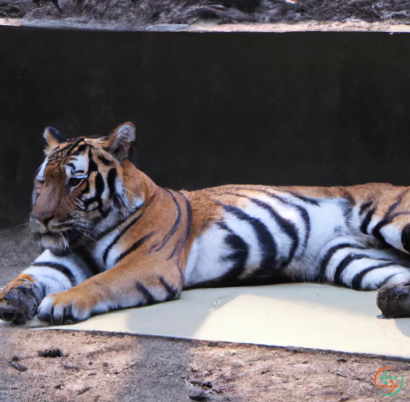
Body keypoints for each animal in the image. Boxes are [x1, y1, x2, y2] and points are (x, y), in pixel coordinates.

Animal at [0, 121, 410, 326]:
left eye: (75, 180)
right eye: (42, 181)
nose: (40, 220)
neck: (86, 234)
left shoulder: (148, 263)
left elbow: (101, 281)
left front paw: (61, 303)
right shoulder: (57, 261)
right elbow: (23, 277)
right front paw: (12, 301)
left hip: (387, 220)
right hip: (353, 260)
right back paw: (394, 300)